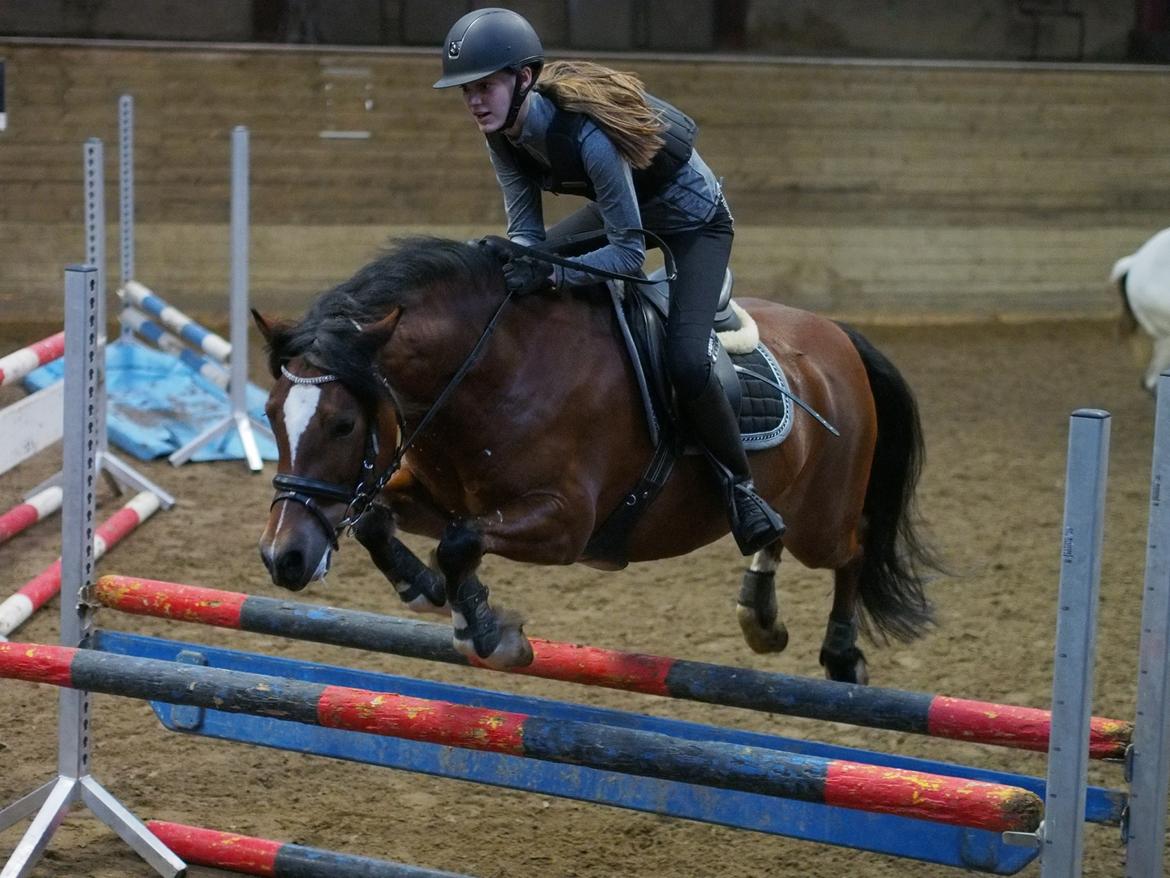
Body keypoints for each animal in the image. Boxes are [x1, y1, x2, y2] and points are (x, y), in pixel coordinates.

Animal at [251, 237, 935, 683]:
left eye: (343, 424)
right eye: (269, 412)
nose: (283, 558)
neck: (492, 371)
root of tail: (838, 336)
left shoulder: (565, 524)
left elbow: (460, 541)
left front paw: (491, 634)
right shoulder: (435, 494)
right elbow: (381, 520)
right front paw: (424, 589)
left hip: (825, 517)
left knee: (854, 546)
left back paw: (842, 655)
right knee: (781, 535)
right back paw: (759, 612)